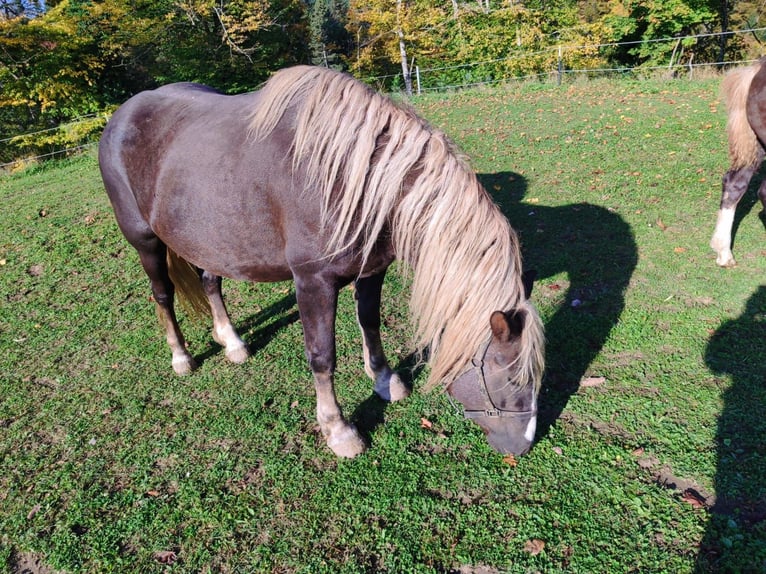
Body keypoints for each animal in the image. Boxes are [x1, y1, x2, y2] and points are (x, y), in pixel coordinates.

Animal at [98, 65, 545, 458]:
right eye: (509, 376)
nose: (522, 444)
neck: (354, 178)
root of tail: (120, 117)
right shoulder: (313, 281)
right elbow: (322, 356)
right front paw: (338, 429)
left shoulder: (372, 270)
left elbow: (370, 323)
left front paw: (385, 381)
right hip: (145, 241)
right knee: (162, 295)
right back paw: (182, 357)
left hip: (211, 239)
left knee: (211, 280)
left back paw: (232, 342)